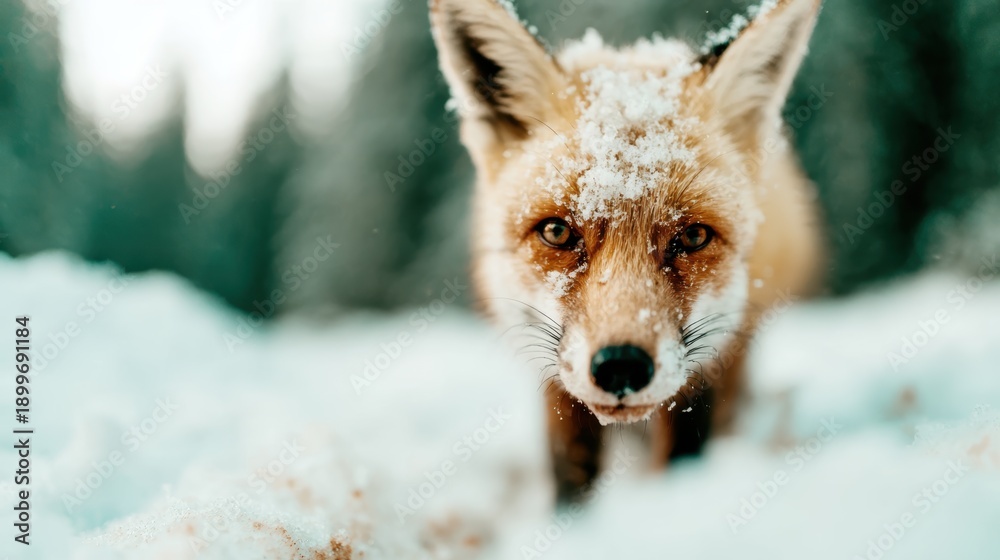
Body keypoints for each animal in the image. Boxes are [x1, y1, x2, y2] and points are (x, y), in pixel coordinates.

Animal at [430, 0, 825, 501]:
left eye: (693, 237)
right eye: (556, 231)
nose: (621, 367)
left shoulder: (704, 368)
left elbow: (683, 451)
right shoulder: (556, 383)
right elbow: (569, 471)